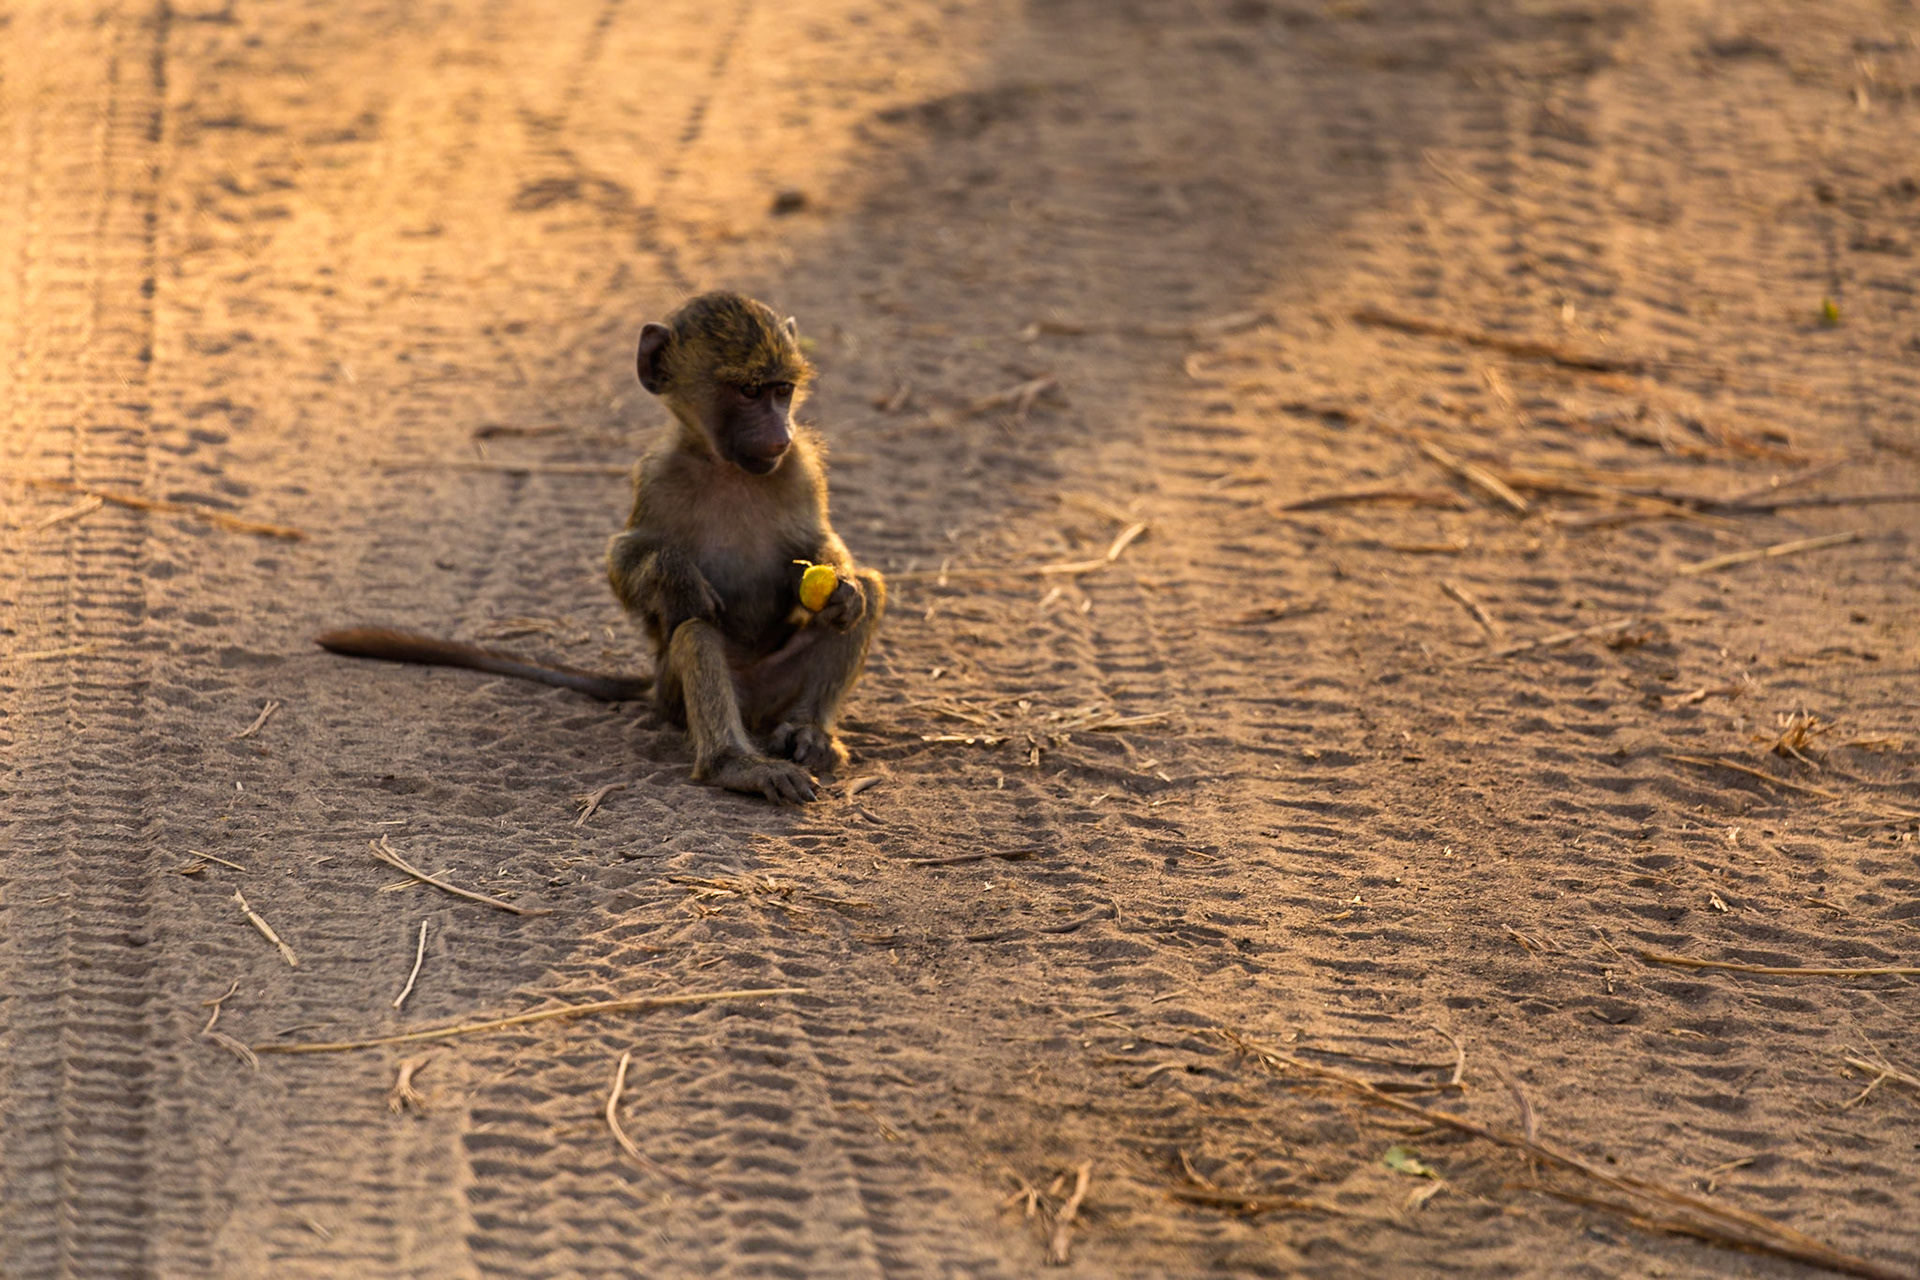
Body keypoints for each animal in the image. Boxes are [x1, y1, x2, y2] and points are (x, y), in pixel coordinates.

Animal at [316, 291, 884, 804]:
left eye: (782, 390)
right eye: (747, 392)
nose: (779, 435)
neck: (726, 466)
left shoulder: (800, 467)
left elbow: (819, 544)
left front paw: (842, 588)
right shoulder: (658, 475)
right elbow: (625, 559)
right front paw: (674, 576)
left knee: (870, 593)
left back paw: (810, 731)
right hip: (677, 693)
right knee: (694, 628)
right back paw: (735, 764)